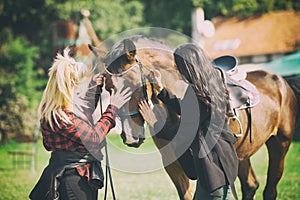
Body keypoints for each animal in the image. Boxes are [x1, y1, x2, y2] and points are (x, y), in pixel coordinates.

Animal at [89, 36, 298, 200]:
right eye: (108, 88)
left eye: (134, 84)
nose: (130, 137)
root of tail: (281, 82)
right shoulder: (173, 162)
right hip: (241, 154)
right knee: (250, 186)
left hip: (280, 144)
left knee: (269, 190)